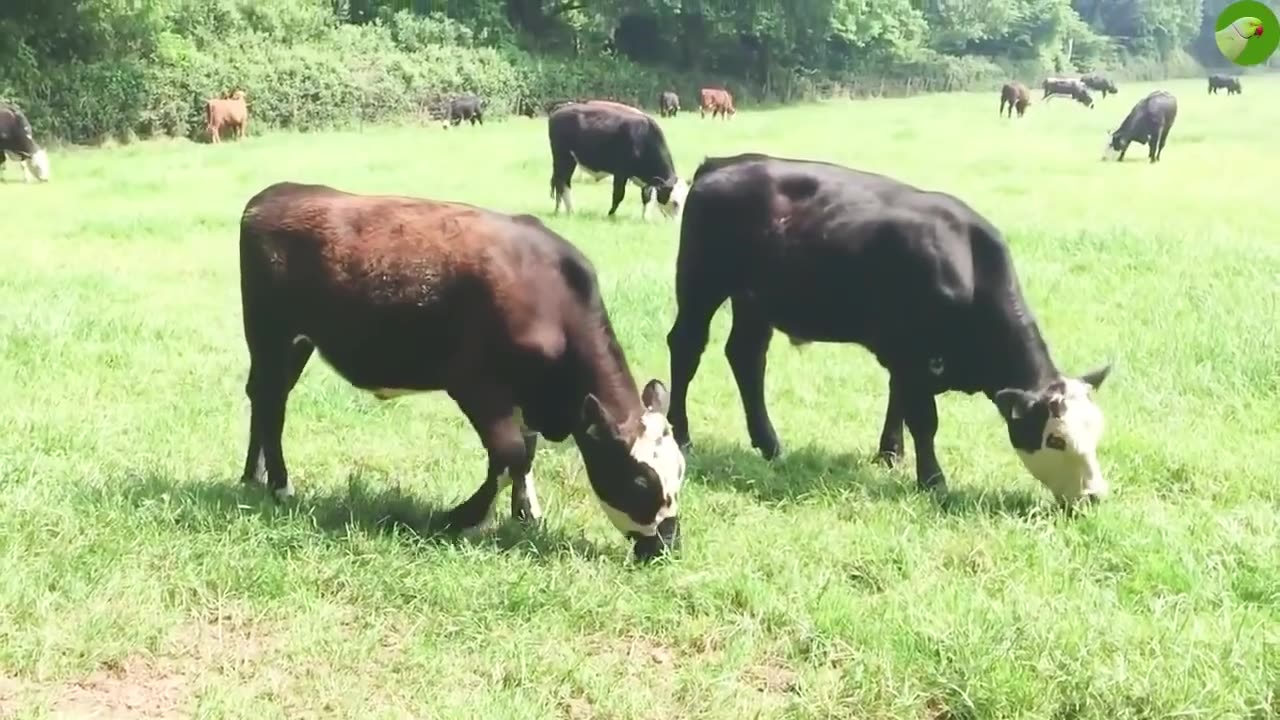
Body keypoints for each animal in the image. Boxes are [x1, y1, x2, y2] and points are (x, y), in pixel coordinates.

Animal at [235, 180, 686, 561]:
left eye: (680, 471)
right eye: (640, 482)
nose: (667, 545)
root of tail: (274, 194)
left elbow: (526, 454)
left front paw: (527, 513)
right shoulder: (477, 386)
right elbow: (510, 453)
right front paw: (460, 517)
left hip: (292, 343)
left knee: (264, 397)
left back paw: (253, 477)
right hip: (272, 334)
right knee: (271, 401)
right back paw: (280, 485)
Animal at [550, 101, 691, 219]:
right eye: (675, 202)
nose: (676, 223)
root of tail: (560, 109)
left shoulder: (647, 181)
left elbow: (646, 197)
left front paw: (645, 218)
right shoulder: (621, 173)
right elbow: (618, 195)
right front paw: (610, 215)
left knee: (561, 183)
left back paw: (564, 210)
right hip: (563, 158)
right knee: (561, 183)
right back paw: (567, 210)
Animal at [665, 152, 1116, 499]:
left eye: (1096, 431)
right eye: (1055, 438)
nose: (1095, 496)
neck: (969, 267)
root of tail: (722, 164)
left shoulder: (909, 357)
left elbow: (897, 399)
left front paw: (890, 454)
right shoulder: (911, 353)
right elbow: (924, 419)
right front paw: (932, 480)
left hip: (754, 302)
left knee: (746, 357)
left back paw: (770, 444)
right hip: (701, 285)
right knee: (686, 347)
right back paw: (682, 434)